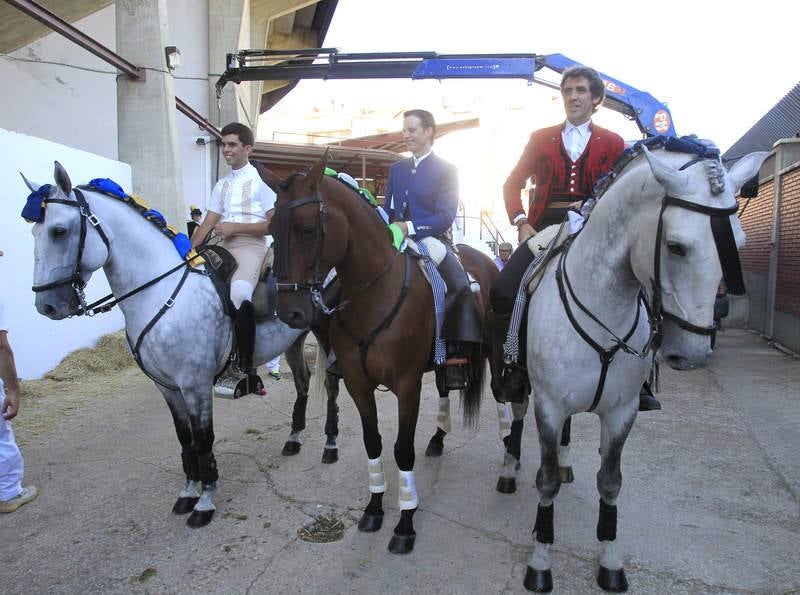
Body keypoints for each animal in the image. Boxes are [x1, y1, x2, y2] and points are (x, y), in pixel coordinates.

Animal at [23, 162, 332, 528]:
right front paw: (188, 493)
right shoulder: (167, 387)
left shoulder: (195, 384)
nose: (47, 306)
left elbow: (204, 440)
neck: (161, 293)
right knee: (302, 382)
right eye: (34, 233)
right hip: (293, 341)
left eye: (59, 231)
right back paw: (293, 438)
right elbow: (186, 440)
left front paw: (205, 502)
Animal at [520, 143, 764, 592]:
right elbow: (545, 481)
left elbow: (610, 481)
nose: (694, 354)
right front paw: (541, 563)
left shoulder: (622, 410)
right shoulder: (548, 405)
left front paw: (611, 563)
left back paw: (565, 462)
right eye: (676, 246)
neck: (604, 304)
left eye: (737, 242)